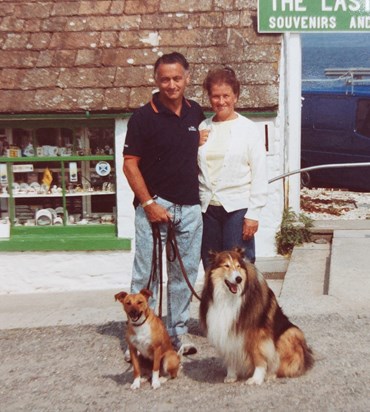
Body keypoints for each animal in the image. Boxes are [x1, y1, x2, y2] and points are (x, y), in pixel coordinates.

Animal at [201, 248, 314, 386]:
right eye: (226, 265)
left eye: (238, 266)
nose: (238, 279)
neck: (228, 298)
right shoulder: (228, 333)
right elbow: (230, 355)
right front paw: (231, 376)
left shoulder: (257, 336)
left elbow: (259, 358)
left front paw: (256, 379)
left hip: (291, 333)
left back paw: (271, 374)